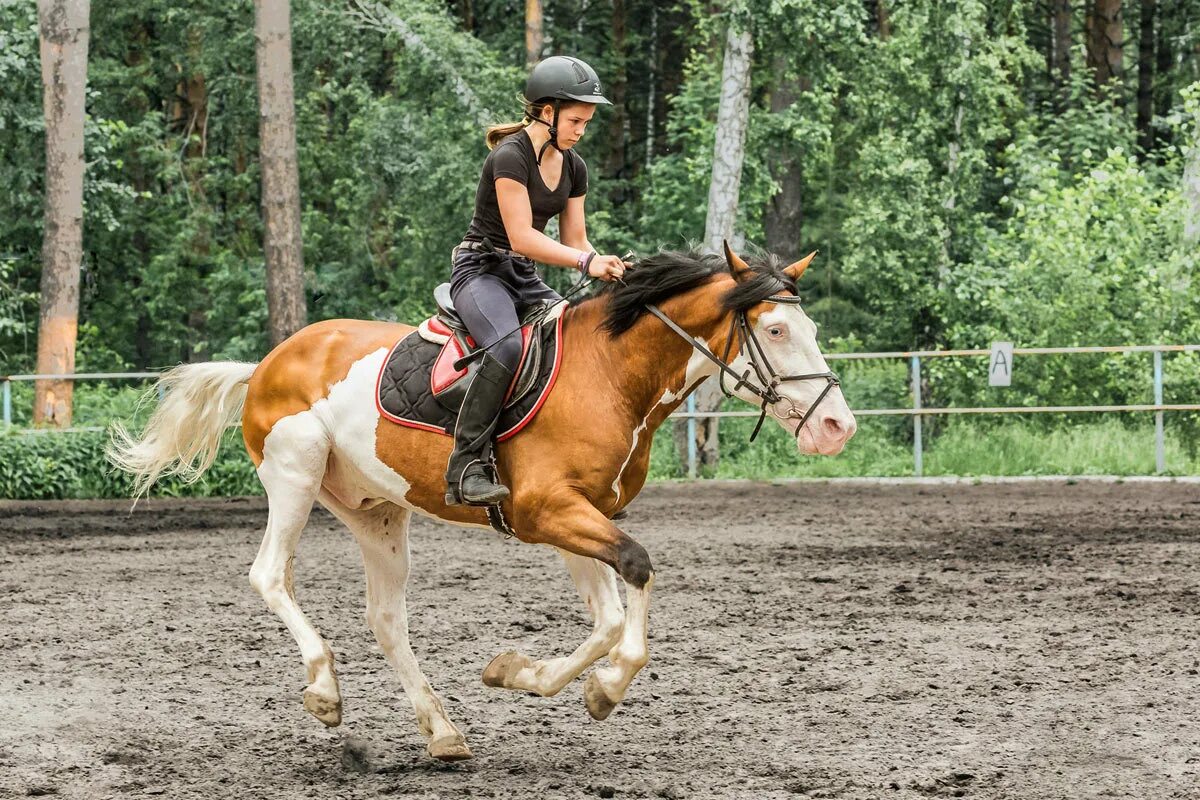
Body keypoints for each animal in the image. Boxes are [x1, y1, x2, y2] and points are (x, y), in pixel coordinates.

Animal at [105, 242, 854, 762]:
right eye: (776, 332)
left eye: (811, 327)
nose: (836, 426)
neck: (612, 375)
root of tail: (266, 362)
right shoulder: (548, 512)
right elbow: (635, 576)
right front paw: (597, 687)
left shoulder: (579, 515)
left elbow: (610, 618)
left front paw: (532, 676)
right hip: (296, 473)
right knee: (271, 576)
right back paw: (324, 691)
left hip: (376, 510)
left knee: (386, 618)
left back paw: (442, 732)